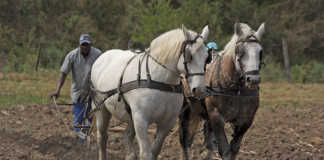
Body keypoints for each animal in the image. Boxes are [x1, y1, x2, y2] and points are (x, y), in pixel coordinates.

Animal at [90, 25, 210, 160]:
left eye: (207, 57)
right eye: (189, 55)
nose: (200, 90)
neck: (160, 81)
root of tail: (102, 56)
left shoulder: (167, 122)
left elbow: (155, 151)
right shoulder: (141, 120)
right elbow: (146, 154)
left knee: (126, 135)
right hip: (101, 108)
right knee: (102, 137)